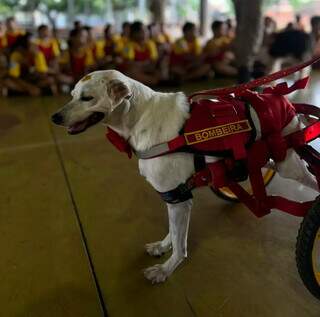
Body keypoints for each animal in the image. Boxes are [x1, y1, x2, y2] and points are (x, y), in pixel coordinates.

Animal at [52, 70, 318, 282]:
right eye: (72, 95)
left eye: (87, 98)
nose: (54, 117)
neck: (140, 118)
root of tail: (280, 97)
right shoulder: (174, 197)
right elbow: (173, 231)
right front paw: (163, 246)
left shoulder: (178, 198)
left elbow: (180, 245)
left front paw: (166, 270)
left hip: (288, 164)